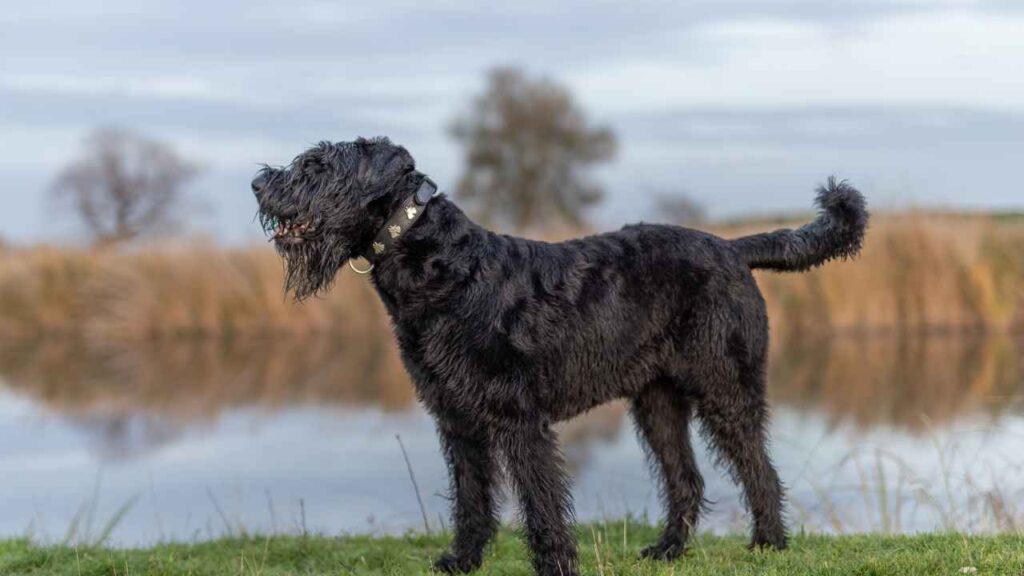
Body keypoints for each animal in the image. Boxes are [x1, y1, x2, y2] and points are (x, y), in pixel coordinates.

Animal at [251, 138, 868, 573]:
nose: (259, 182)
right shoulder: (456, 417)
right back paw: (668, 550)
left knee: (758, 468)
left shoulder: (517, 418)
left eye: (317, 166)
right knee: (686, 477)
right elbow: (471, 496)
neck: (441, 268)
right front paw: (461, 561)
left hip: (725, 388)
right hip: (657, 403)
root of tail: (732, 248)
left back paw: (768, 545)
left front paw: (553, 564)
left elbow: (539, 499)